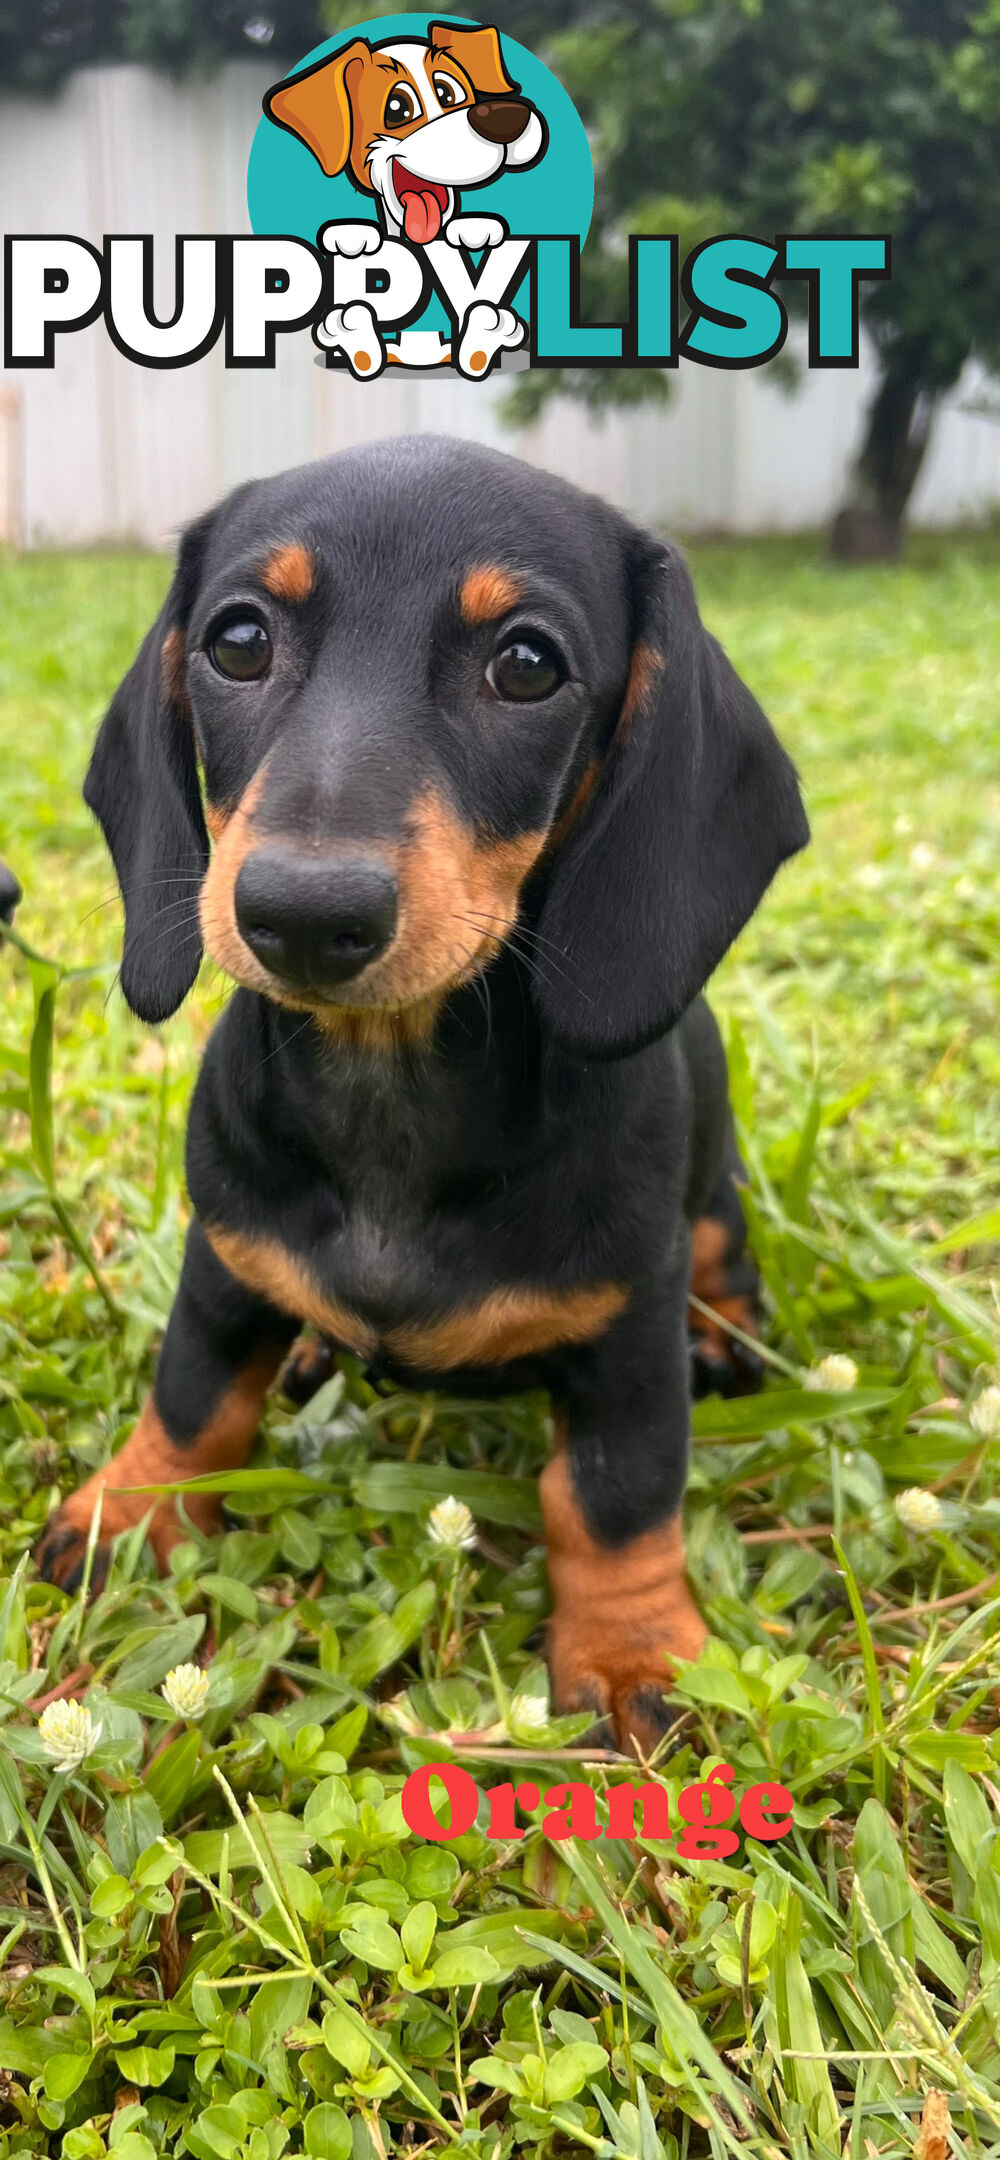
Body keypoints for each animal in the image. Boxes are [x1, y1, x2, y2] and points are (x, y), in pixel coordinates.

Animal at [35, 434, 812, 1753]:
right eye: (237, 641)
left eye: (527, 664)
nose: (302, 914)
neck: (388, 1088)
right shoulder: (221, 1259)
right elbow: (193, 1400)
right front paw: (131, 1512)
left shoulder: (626, 1330)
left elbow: (614, 1493)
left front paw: (629, 1646)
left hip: (711, 1213)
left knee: (726, 1266)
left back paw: (725, 1339)